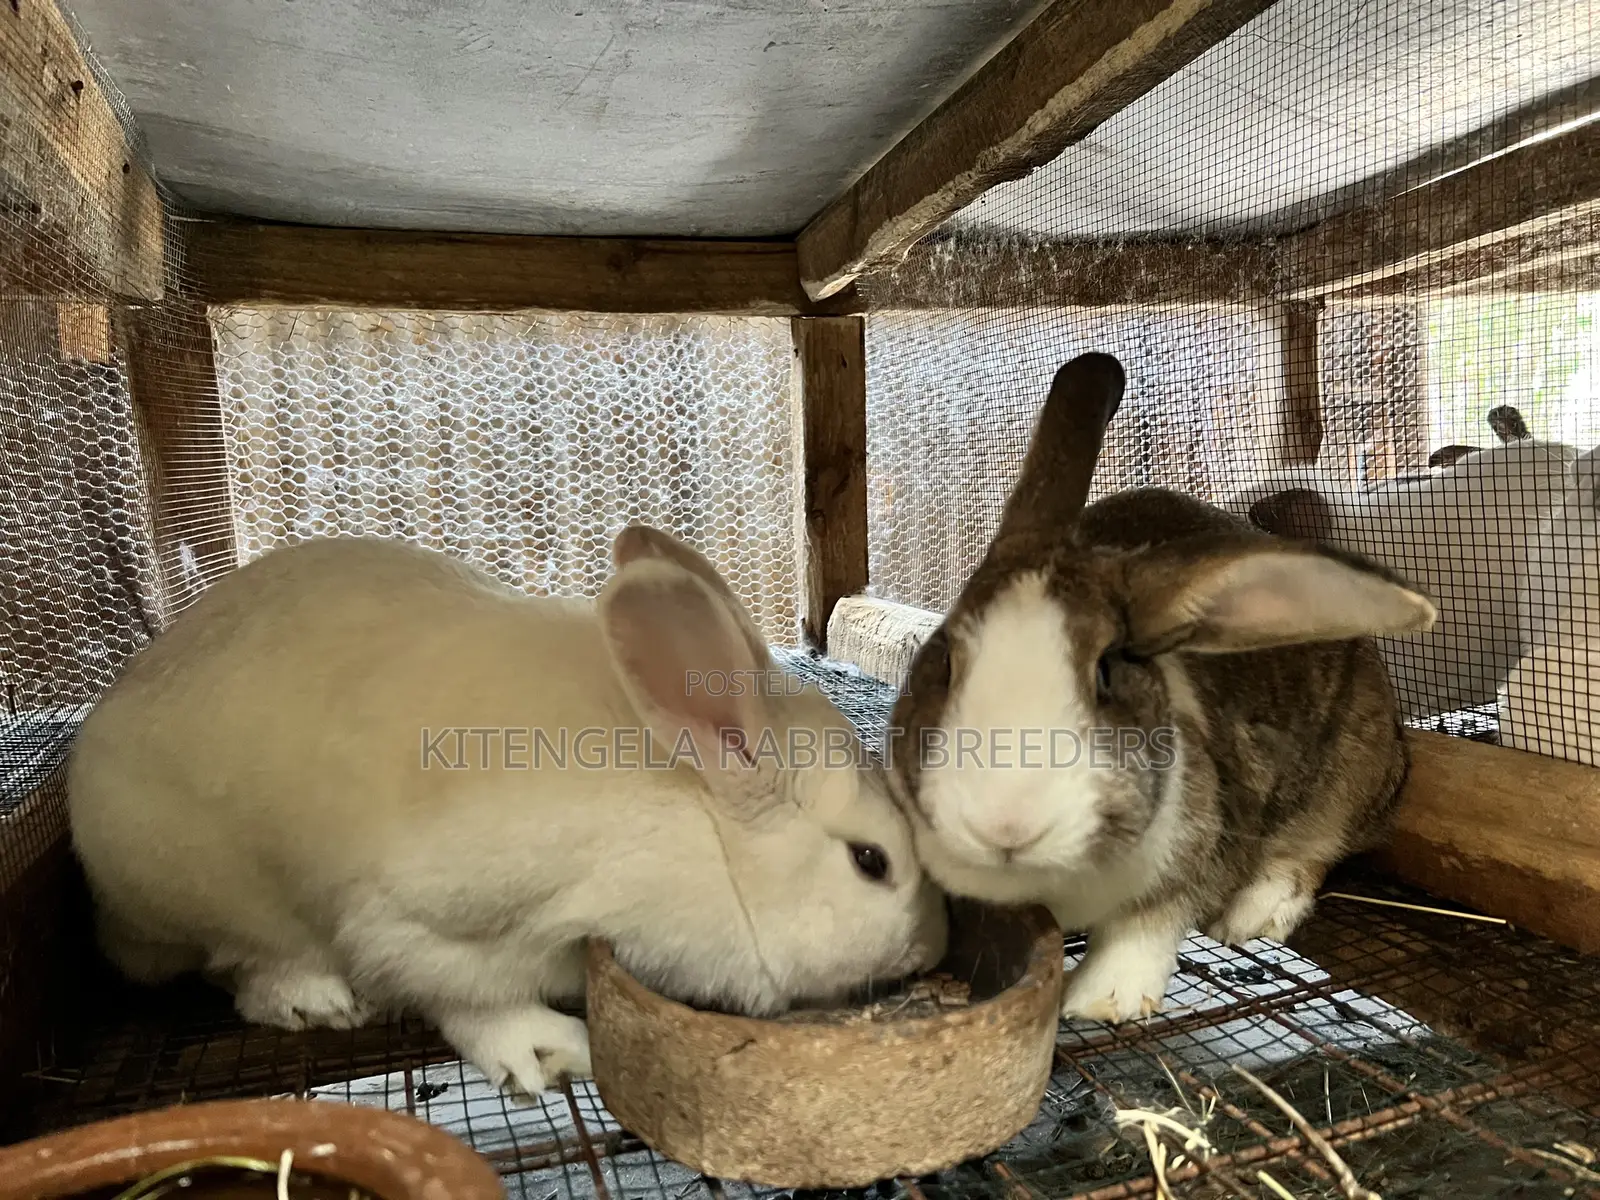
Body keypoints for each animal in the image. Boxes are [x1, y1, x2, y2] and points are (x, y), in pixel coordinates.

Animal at [67, 524, 949, 1098]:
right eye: (870, 861)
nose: (930, 944)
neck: (700, 821)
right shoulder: (424, 922)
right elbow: (467, 1001)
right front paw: (550, 1053)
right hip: (212, 891)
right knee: (238, 963)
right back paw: (313, 997)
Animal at [884, 352, 1436, 1024]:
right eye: (943, 659)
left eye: (1106, 670)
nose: (1004, 826)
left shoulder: (1196, 851)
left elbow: (1148, 923)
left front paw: (1102, 1000)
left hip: (1352, 768)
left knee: (1314, 846)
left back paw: (1255, 914)